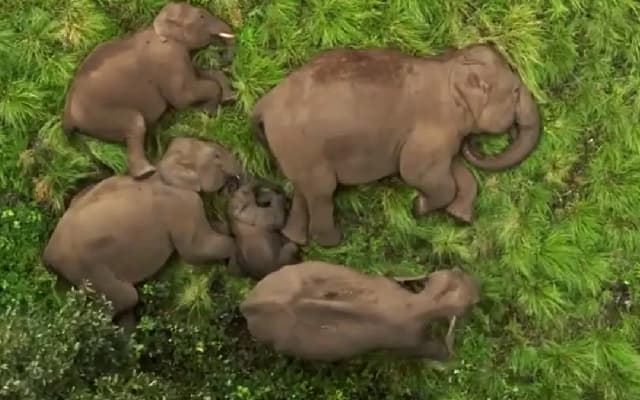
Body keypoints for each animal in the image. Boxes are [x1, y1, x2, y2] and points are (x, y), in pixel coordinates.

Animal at [41, 137, 244, 332]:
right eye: (216, 155)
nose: (234, 184)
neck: (164, 165)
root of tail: (48, 253)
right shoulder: (182, 205)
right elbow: (196, 250)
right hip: (85, 267)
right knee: (126, 298)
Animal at [61, 2, 237, 179]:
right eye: (201, 16)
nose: (220, 54)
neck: (158, 24)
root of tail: (67, 114)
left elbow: (200, 74)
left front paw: (225, 101)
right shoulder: (169, 59)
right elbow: (183, 97)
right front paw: (211, 112)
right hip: (100, 115)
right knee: (135, 124)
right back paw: (146, 173)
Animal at [239, 261, 480, 362]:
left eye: (456, 273)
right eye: (470, 305)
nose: (478, 287)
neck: (418, 304)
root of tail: (248, 304)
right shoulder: (412, 341)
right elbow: (435, 351)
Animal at [250, 42, 542, 246]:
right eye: (516, 92)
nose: (476, 144)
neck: (448, 67)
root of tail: (263, 104)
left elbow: (456, 171)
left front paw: (459, 216)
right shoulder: (432, 127)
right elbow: (416, 172)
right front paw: (419, 207)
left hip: (295, 151)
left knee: (304, 189)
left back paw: (295, 238)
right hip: (301, 145)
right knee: (322, 191)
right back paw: (334, 240)